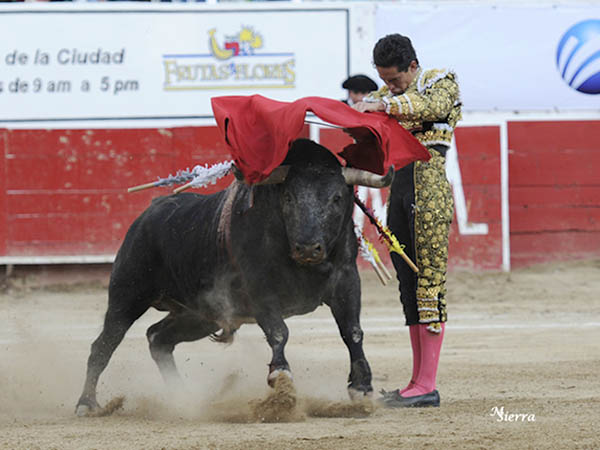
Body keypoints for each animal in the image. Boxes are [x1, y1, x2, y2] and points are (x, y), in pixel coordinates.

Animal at [75, 138, 394, 414]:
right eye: (288, 196)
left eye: (337, 197)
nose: (308, 247)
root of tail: (149, 212)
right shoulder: (260, 288)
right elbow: (279, 332)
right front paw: (281, 377)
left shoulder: (346, 281)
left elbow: (352, 331)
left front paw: (362, 387)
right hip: (128, 295)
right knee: (103, 345)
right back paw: (87, 404)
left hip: (201, 314)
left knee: (158, 338)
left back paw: (183, 397)